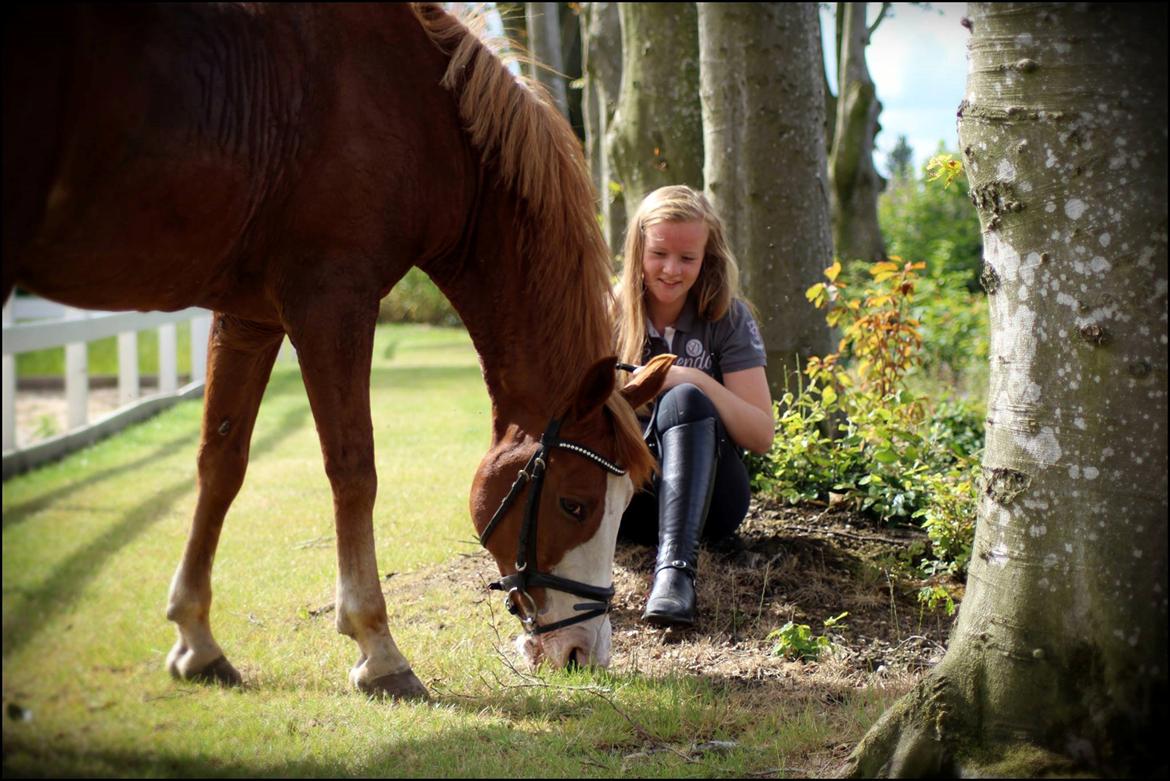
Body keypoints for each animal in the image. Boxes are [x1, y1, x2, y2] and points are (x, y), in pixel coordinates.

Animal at [2, 3, 669, 701]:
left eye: (626, 503)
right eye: (575, 504)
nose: (583, 652)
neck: (421, 109)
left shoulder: (248, 317)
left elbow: (221, 463)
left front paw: (197, 638)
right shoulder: (332, 303)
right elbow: (354, 469)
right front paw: (378, 649)